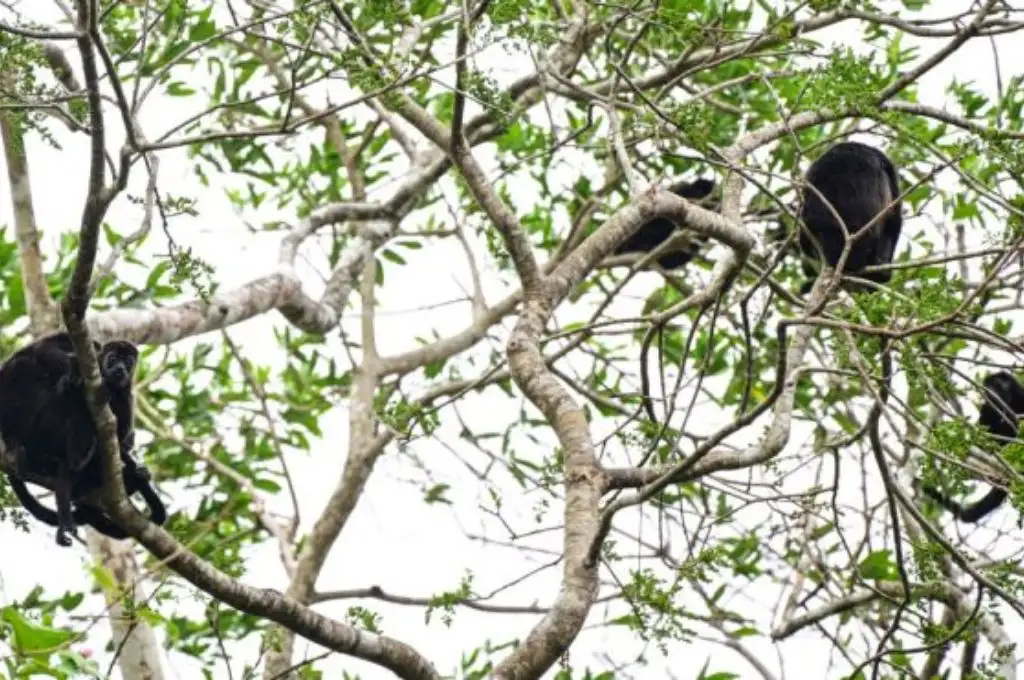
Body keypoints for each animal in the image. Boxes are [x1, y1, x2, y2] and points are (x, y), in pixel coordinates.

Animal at [0, 333, 166, 545]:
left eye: (128, 363)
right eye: (113, 359)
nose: (120, 369)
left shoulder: (127, 399)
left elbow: (121, 439)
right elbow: (47, 355)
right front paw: (73, 375)